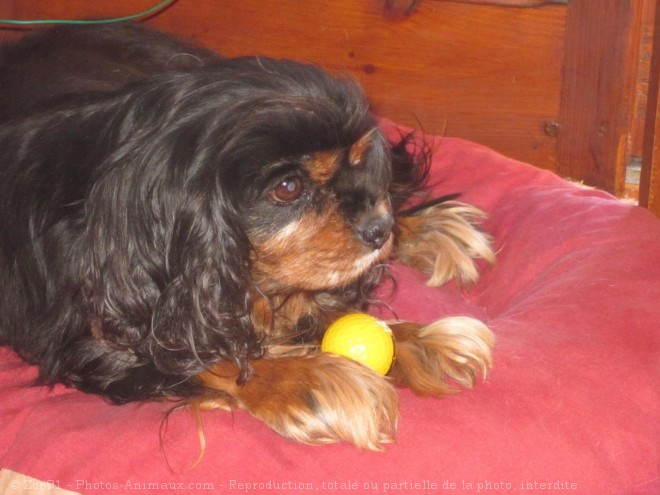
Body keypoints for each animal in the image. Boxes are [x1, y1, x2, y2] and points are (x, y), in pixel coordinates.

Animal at [0, 23, 496, 452]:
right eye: (288, 188)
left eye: (357, 163)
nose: (378, 228)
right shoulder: (87, 344)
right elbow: (202, 356)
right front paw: (305, 380)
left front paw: (418, 338)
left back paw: (429, 229)